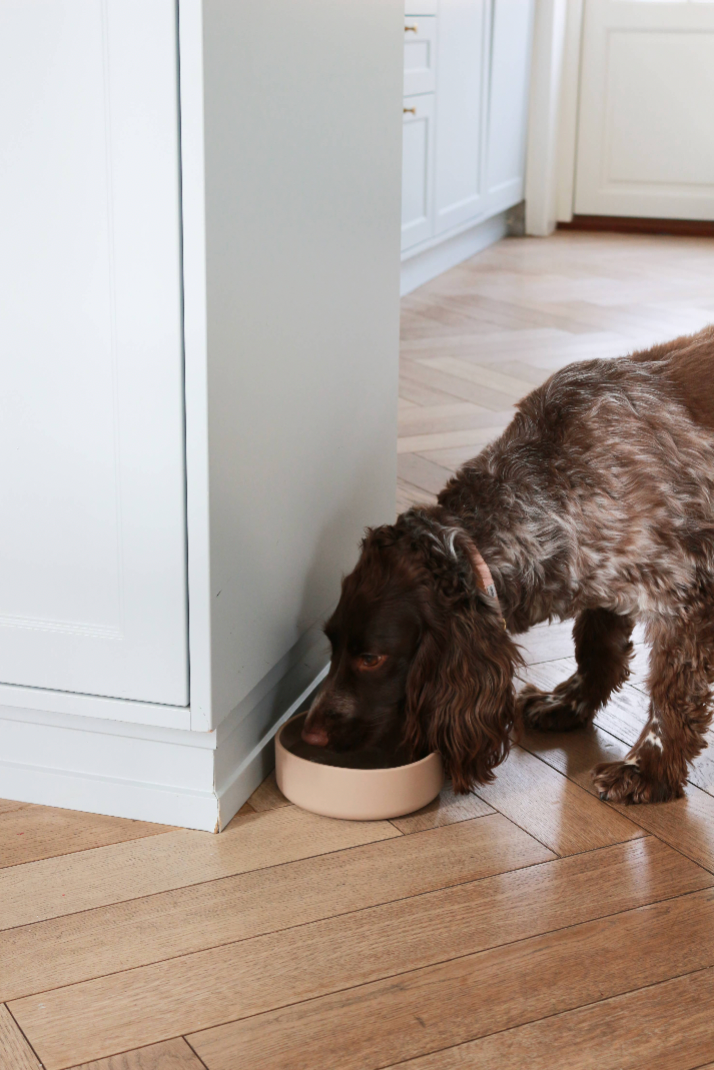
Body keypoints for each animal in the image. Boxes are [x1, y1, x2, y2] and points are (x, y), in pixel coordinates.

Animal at [304, 325, 714, 804]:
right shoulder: (604, 572)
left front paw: (646, 770)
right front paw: (567, 704)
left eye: (371, 658)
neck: (556, 481)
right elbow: (595, 647)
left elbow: (672, 699)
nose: (310, 734)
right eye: (331, 644)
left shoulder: (686, 597)